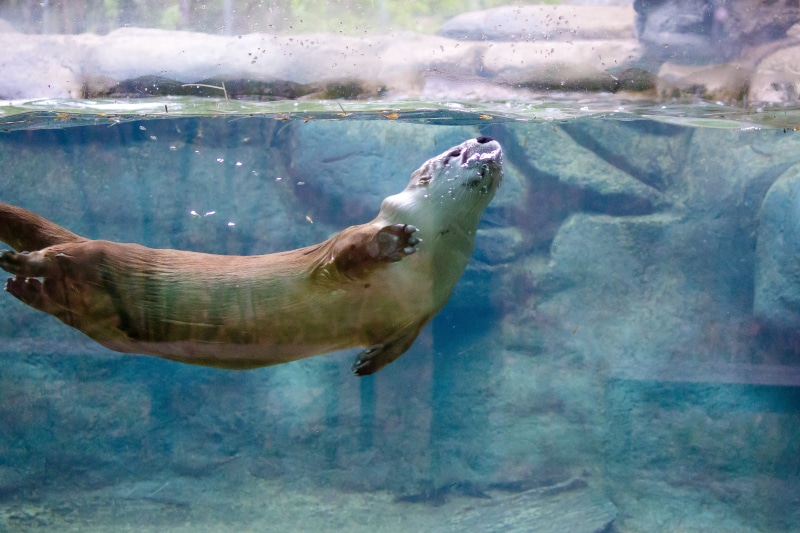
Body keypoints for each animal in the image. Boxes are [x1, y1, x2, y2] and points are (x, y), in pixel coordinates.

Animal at [0, 137, 502, 375]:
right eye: (454, 151)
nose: (486, 137)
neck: (432, 262)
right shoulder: (347, 241)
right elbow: (344, 256)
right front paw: (392, 244)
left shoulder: (426, 308)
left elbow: (405, 341)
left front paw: (370, 361)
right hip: (103, 257)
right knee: (67, 255)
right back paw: (22, 265)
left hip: (98, 312)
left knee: (67, 299)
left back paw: (23, 285)